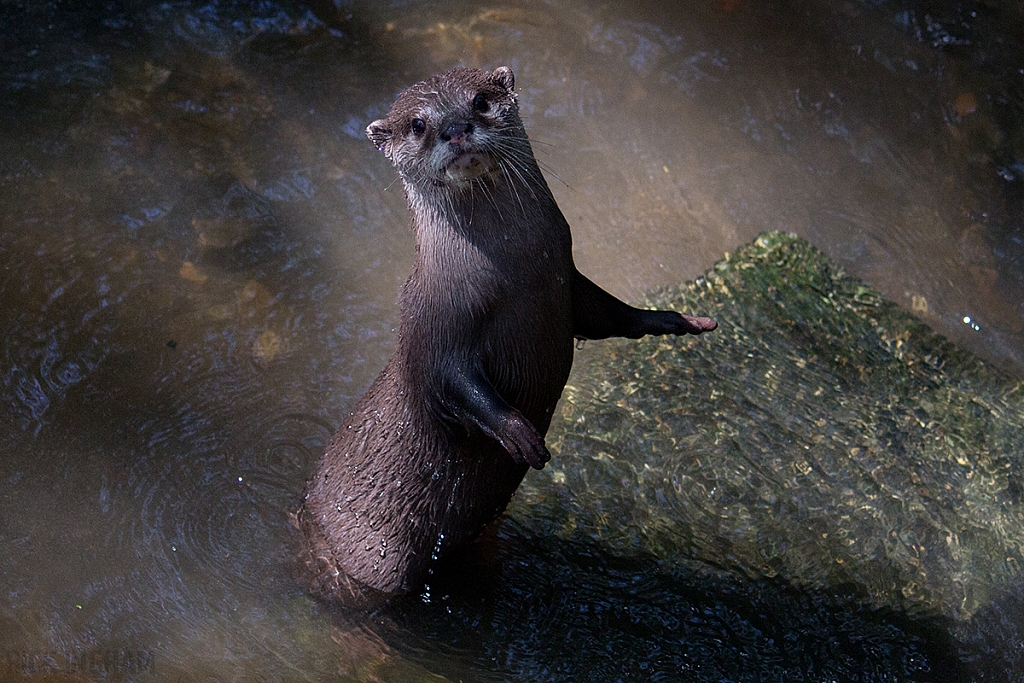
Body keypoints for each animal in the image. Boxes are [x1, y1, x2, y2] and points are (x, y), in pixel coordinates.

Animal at [296, 66, 712, 606]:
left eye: (479, 101)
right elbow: (453, 383)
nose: (455, 129)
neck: (513, 272)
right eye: (417, 125)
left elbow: (609, 315)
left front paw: (671, 320)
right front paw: (520, 434)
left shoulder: (565, 280)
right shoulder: (435, 327)